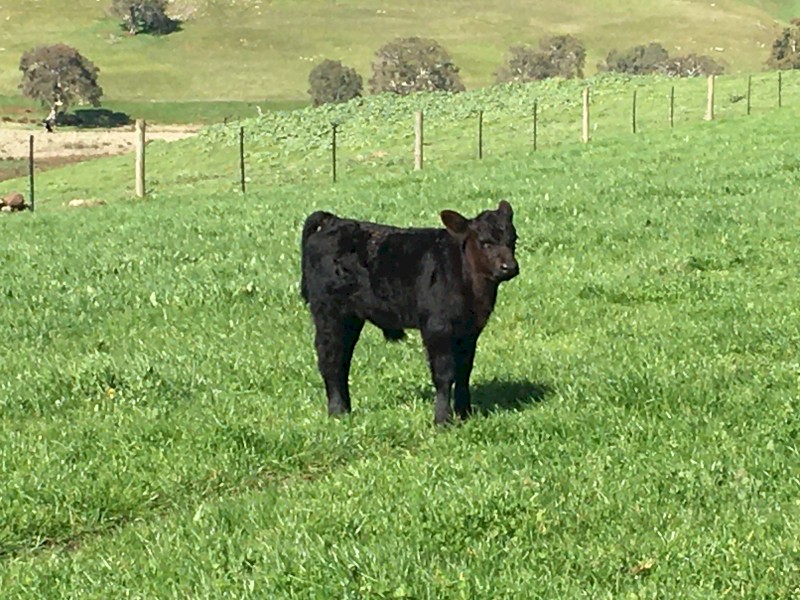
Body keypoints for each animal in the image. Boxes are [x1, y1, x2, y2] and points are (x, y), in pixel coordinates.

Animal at [300, 200, 519, 425]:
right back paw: (338, 412)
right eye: (485, 242)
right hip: (329, 313)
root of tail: (333, 220)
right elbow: (444, 375)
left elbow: (464, 372)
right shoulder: (437, 329)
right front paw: (442, 419)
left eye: (513, 239)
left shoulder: (469, 331)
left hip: (351, 318)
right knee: (331, 360)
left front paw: (465, 413)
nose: (509, 267)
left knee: (343, 359)